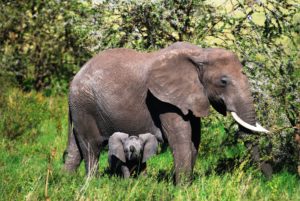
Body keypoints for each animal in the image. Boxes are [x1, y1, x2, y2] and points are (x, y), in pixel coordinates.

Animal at [62, 41, 268, 183]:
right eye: (223, 81)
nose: (266, 179)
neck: (200, 54)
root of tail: (75, 76)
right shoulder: (163, 100)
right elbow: (180, 138)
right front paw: (182, 189)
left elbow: (194, 139)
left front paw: (186, 185)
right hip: (85, 105)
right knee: (92, 147)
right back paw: (91, 184)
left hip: (79, 107)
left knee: (75, 148)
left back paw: (67, 182)